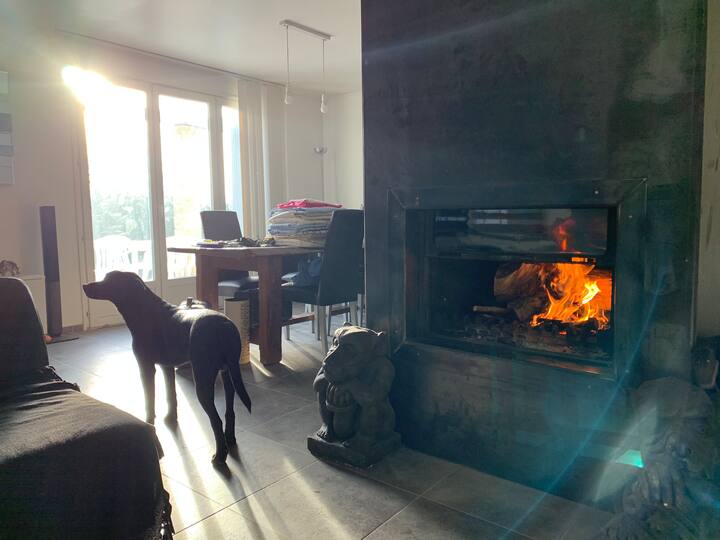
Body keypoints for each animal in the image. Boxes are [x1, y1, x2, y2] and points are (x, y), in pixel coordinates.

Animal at [83, 271, 251, 464]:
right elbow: (171, 394)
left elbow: (149, 401)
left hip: (202, 380)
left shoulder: (146, 367)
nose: (85, 286)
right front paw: (171, 418)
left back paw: (220, 456)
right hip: (227, 374)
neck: (144, 309)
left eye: (109, 281)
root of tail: (224, 326)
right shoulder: (167, 367)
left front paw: (149, 424)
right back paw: (229, 439)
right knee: (229, 411)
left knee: (216, 420)